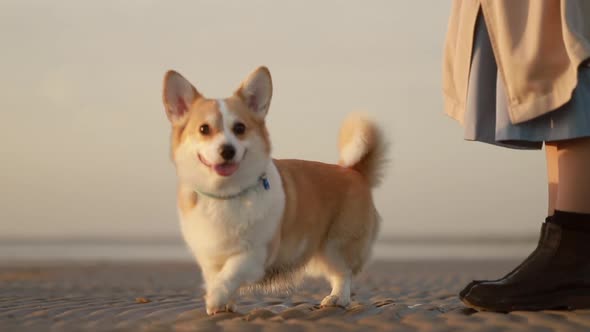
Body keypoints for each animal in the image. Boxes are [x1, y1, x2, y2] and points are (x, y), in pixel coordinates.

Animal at [162, 65, 388, 314]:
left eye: (239, 128)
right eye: (204, 129)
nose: (227, 150)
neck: (226, 194)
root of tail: (355, 171)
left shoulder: (256, 253)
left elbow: (230, 273)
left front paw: (214, 298)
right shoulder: (211, 258)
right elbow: (218, 277)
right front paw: (223, 306)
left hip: (336, 246)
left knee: (343, 273)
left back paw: (337, 299)